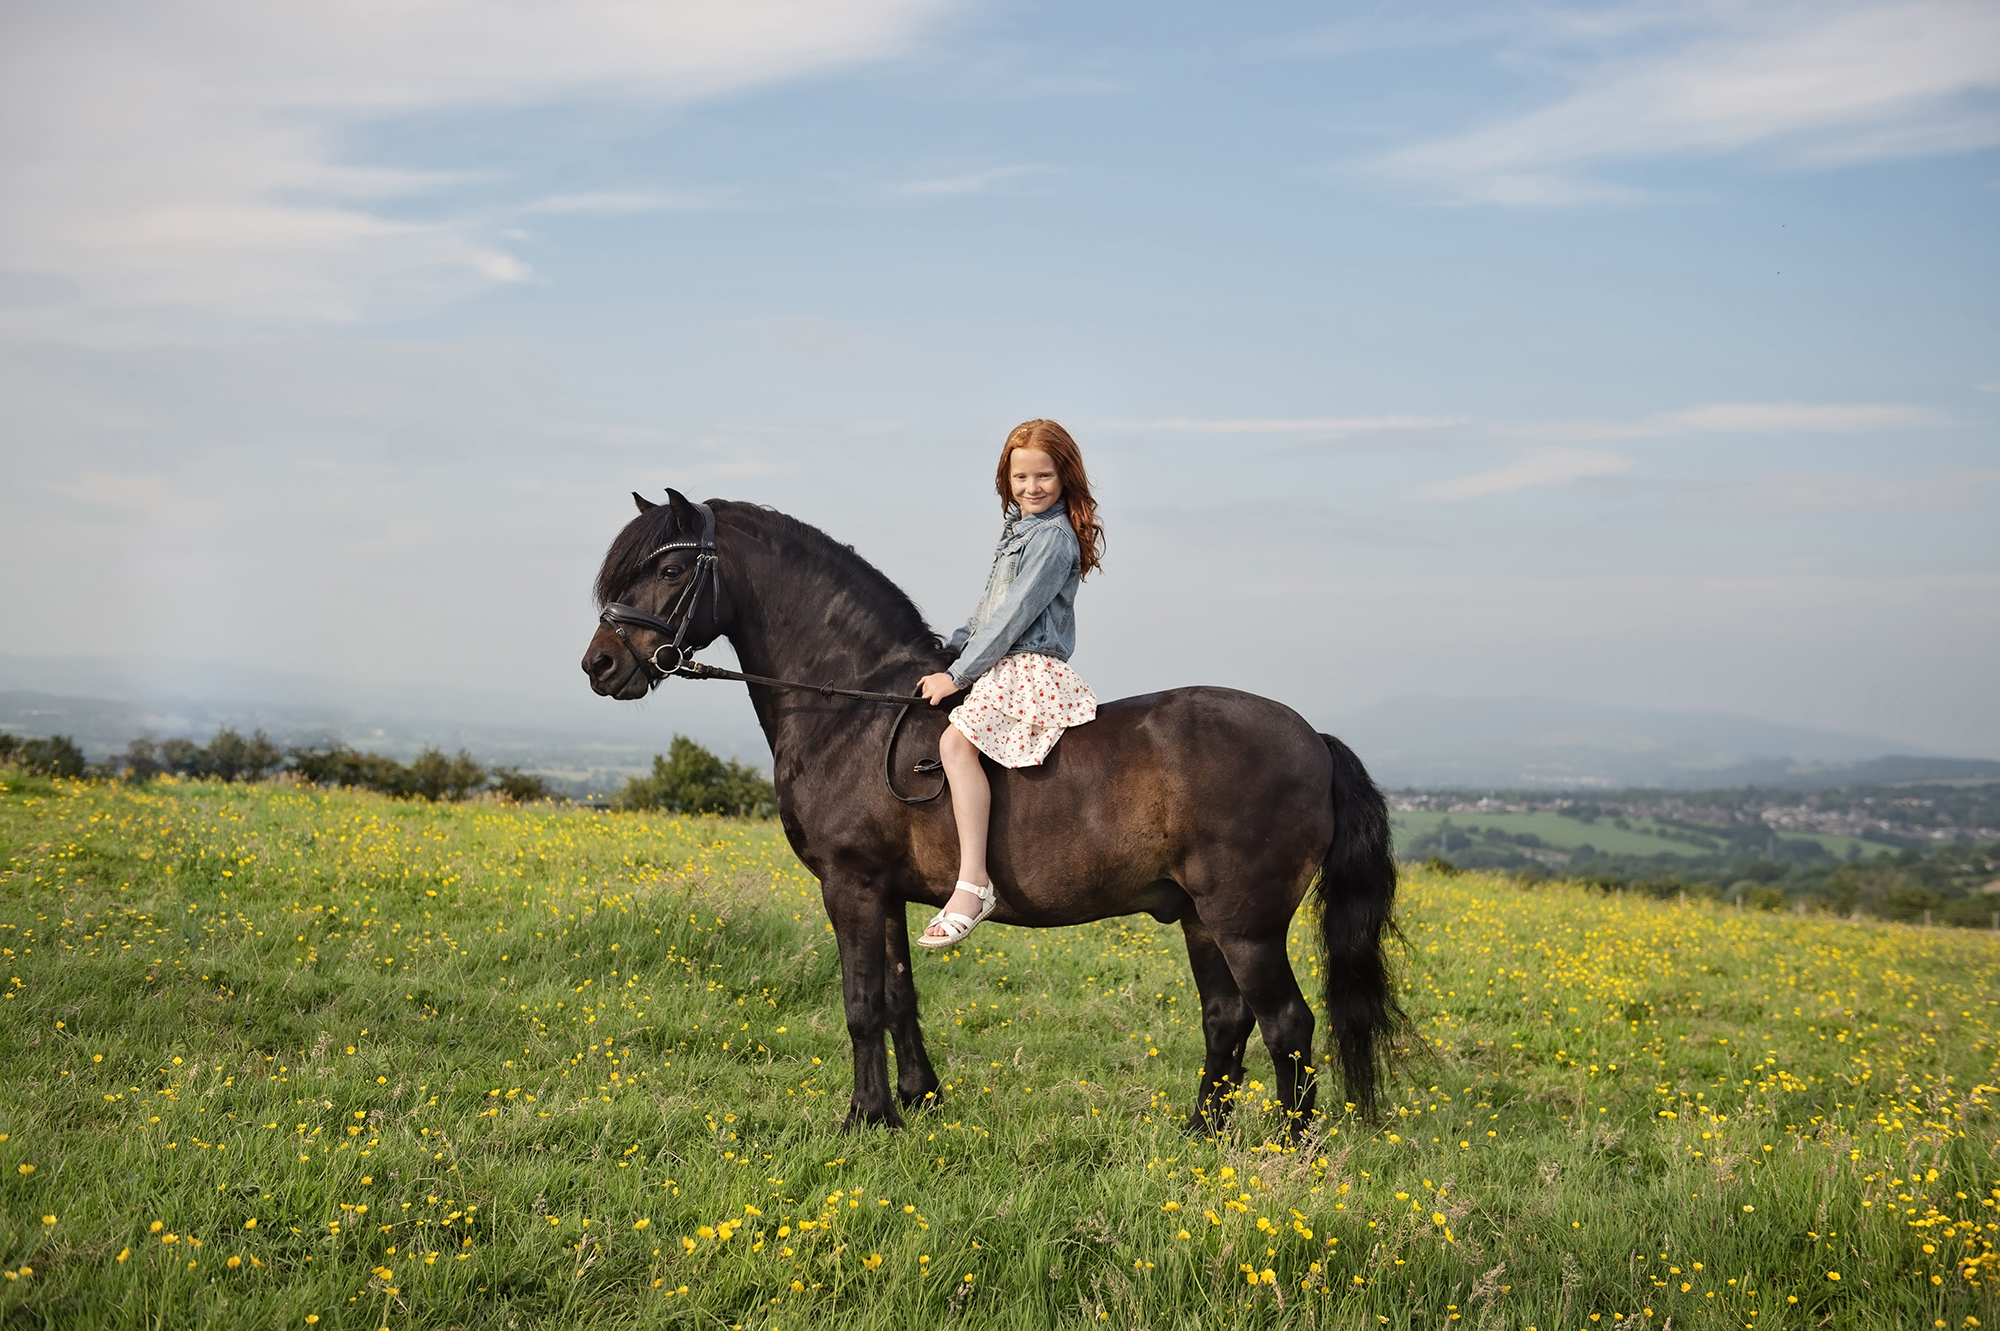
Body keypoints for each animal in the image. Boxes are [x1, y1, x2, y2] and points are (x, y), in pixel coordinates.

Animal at [580, 490, 1399, 1135]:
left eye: (671, 569)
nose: (599, 666)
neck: (850, 707)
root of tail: (1313, 741)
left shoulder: (850, 884)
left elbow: (860, 1001)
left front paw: (863, 1118)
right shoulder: (886, 894)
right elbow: (898, 996)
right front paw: (917, 1102)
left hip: (1245, 923)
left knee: (1287, 1024)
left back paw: (1289, 1152)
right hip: (1202, 918)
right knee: (1226, 1018)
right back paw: (1201, 1135)